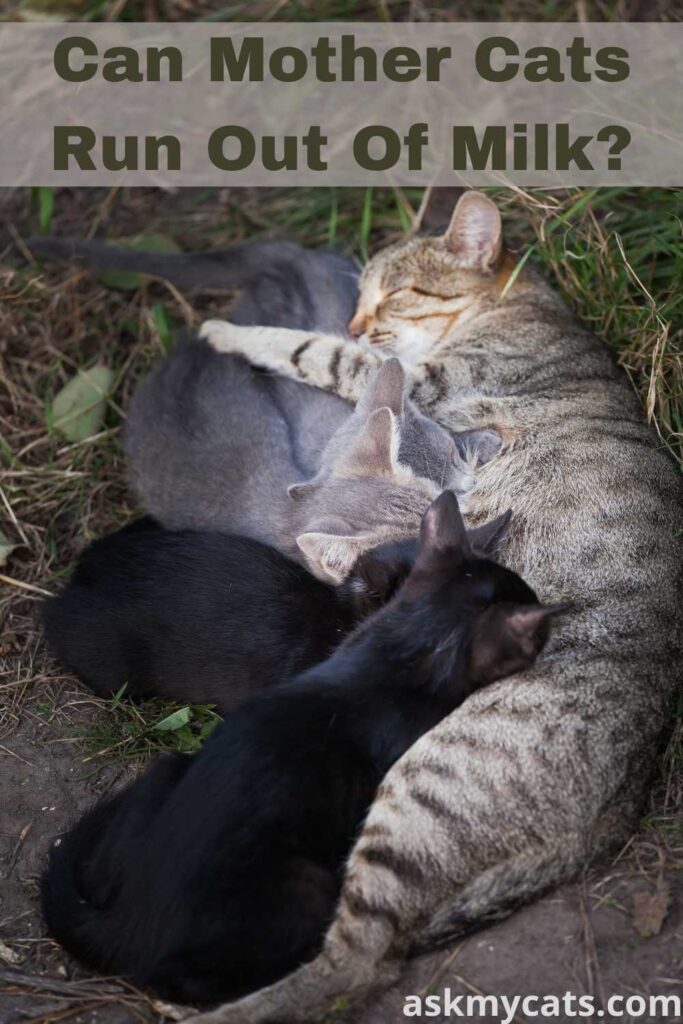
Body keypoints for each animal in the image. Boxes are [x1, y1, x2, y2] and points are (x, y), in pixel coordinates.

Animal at [196, 192, 683, 1024]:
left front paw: (224, 331)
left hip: (420, 790)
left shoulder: (411, 375)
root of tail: (622, 807)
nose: (357, 319)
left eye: (391, 293)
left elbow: (309, 350)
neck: (520, 302)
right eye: (357, 294)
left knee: (357, 958)